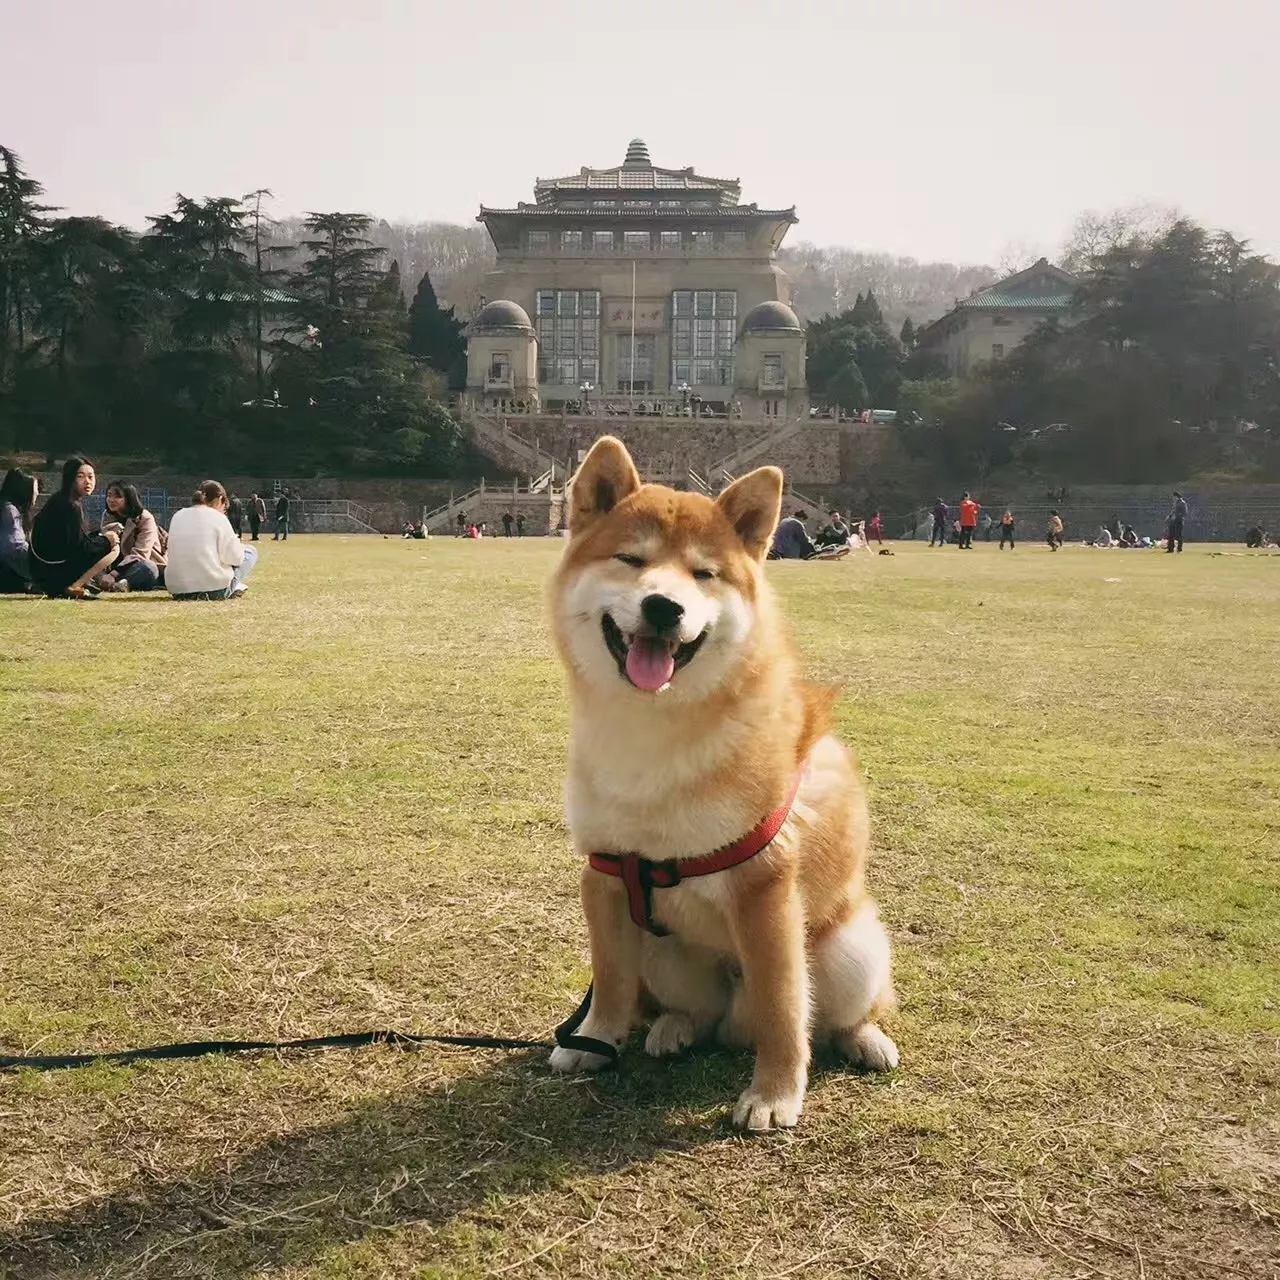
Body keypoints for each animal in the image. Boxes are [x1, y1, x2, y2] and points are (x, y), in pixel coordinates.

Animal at [550, 437, 901, 1131]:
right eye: (631, 560)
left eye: (704, 574)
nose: (664, 606)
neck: (654, 736)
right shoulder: (607, 871)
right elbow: (610, 978)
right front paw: (595, 1040)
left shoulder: (765, 886)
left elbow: (784, 1008)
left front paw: (774, 1095)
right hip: (661, 951)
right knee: (691, 1011)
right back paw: (673, 1029)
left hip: (851, 947)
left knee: (829, 1015)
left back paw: (865, 1039)